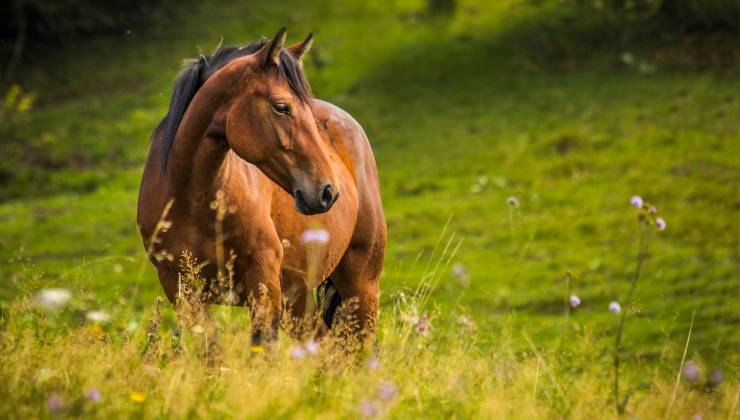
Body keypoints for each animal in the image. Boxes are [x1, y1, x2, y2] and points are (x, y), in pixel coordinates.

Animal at [136, 28, 386, 348]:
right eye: (281, 107)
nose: (327, 191)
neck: (194, 199)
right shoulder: (179, 287)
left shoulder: (263, 277)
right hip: (299, 297)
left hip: (360, 285)